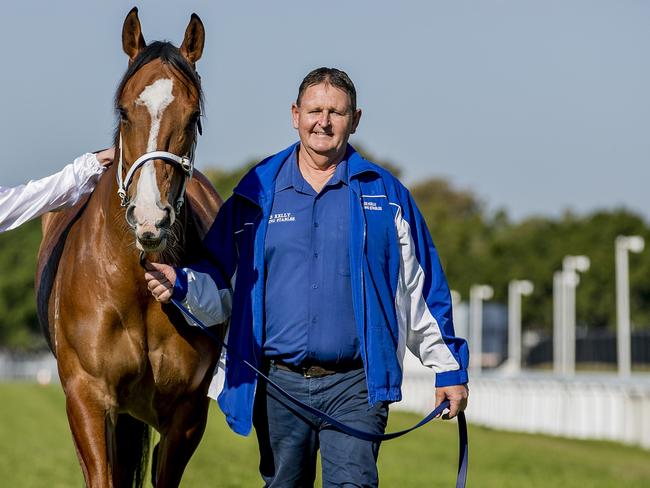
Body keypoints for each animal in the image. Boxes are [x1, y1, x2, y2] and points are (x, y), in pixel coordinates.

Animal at [36, 7, 223, 488]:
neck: (136, 282)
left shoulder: (186, 415)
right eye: (123, 112)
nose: (150, 219)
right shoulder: (87, 399)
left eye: (193, 117)